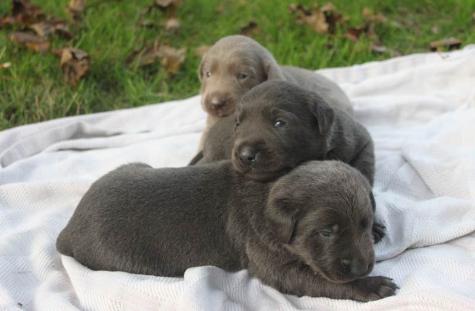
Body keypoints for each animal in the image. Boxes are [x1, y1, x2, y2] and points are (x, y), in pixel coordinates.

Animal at [56, 161, 398, 302]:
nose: (363, 267)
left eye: (363, 222)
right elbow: (319, 281)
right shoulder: (271, 262)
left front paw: (379, 229)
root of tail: (68, 229)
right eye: (327, 232)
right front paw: (371, 286)